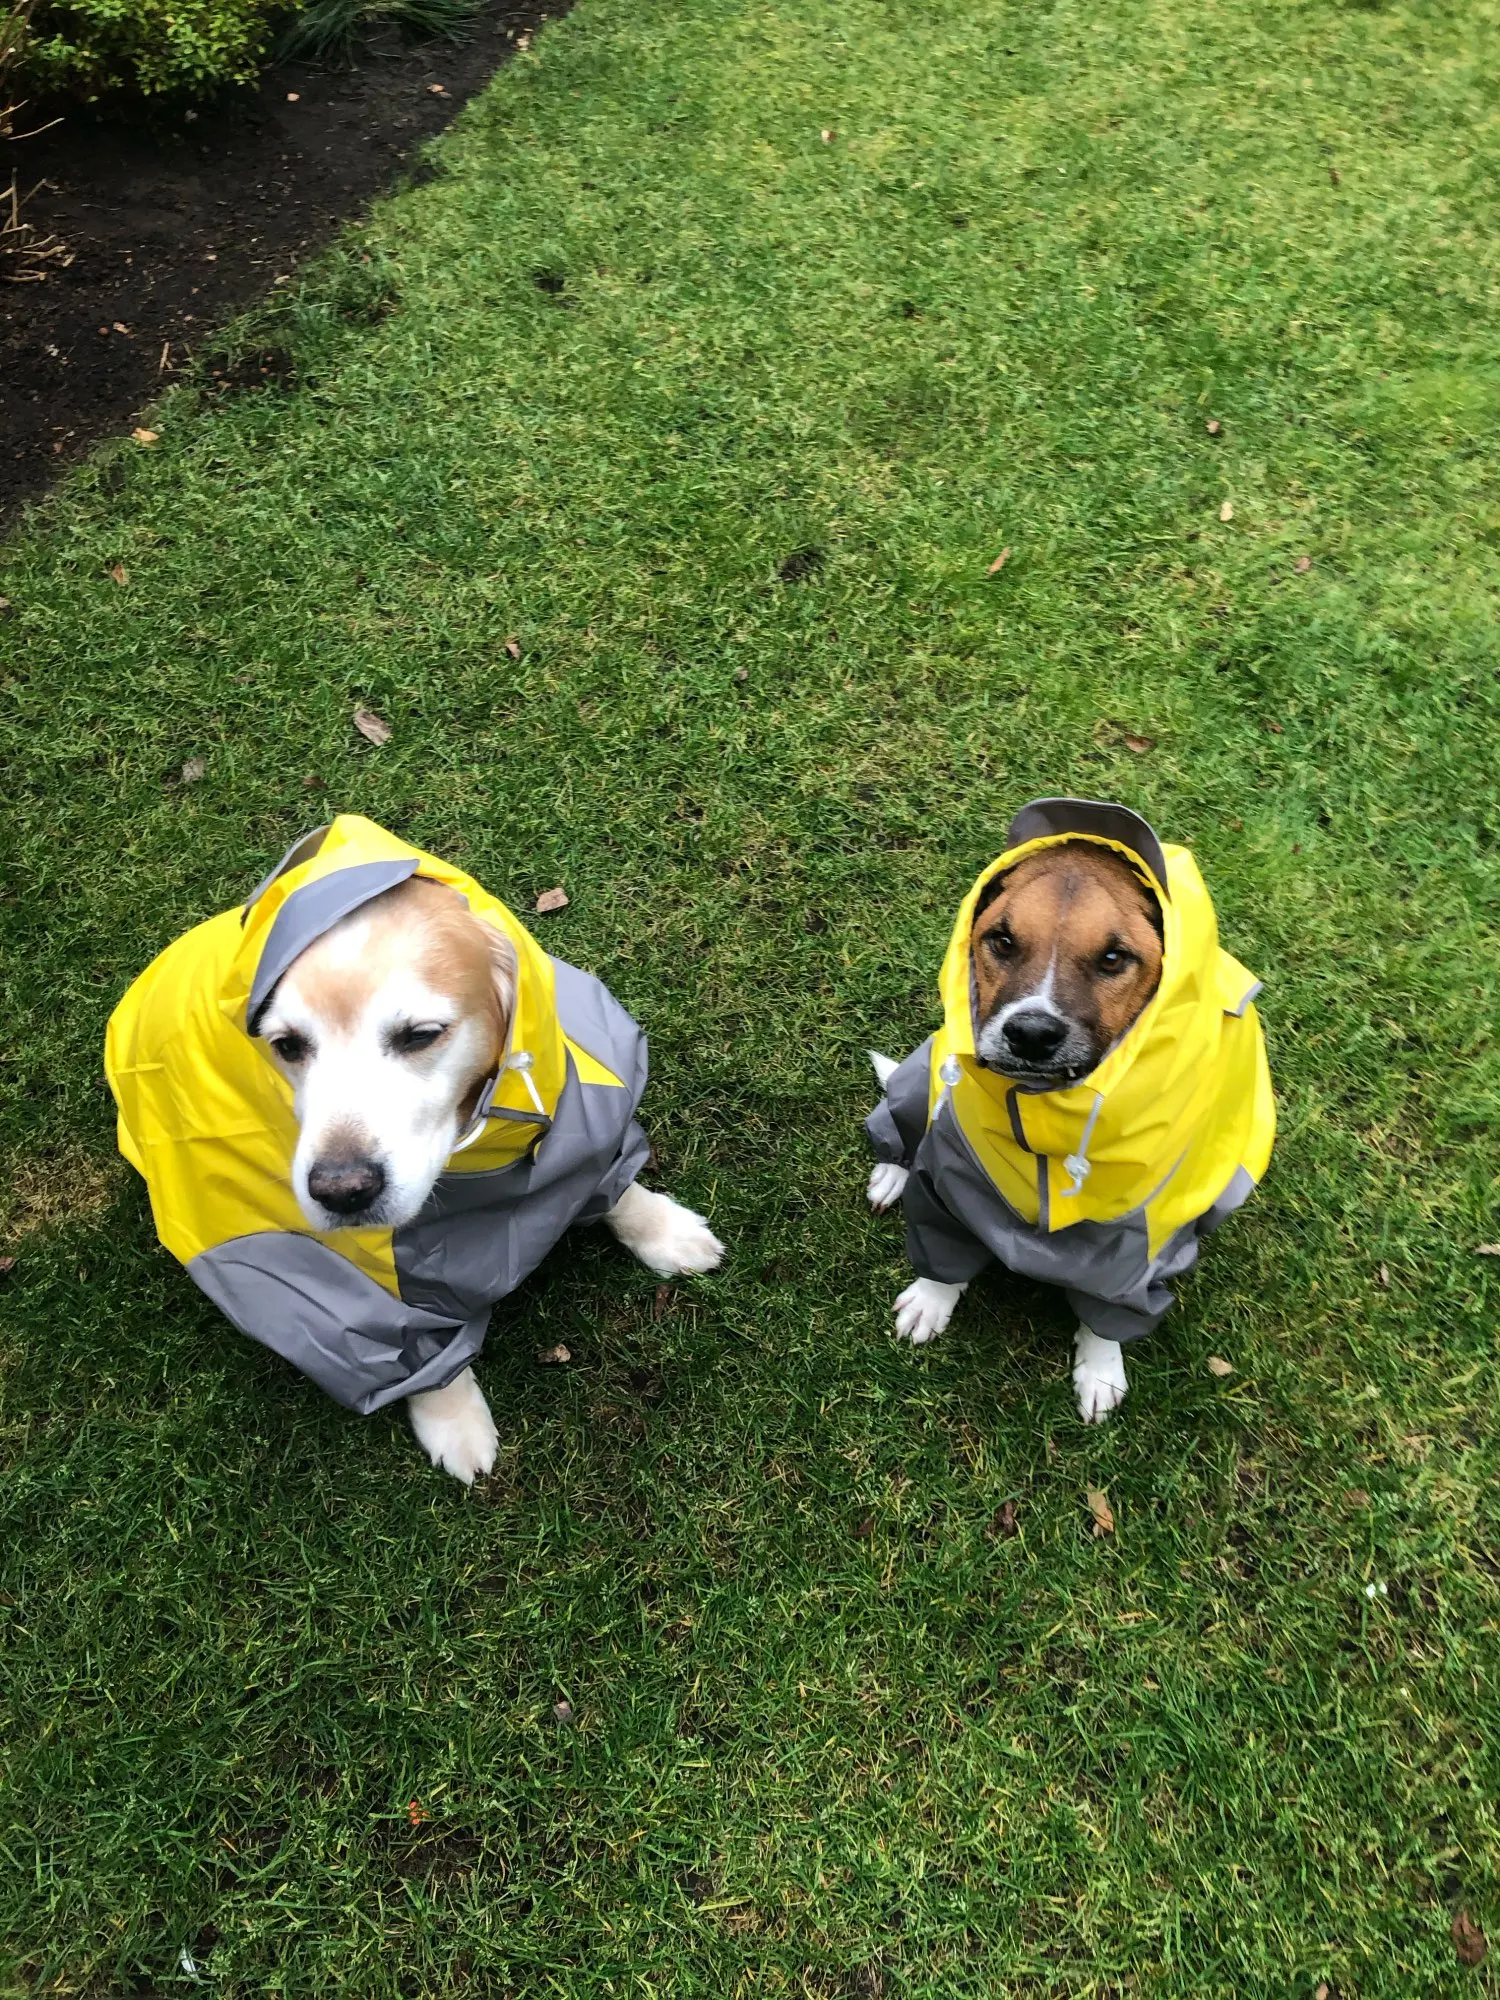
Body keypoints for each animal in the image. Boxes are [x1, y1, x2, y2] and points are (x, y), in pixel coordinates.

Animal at [106, 816, 724, 1482]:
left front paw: (662, 1229)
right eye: (287, 1045)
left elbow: (612, 1184)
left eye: (420, 1035)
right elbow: (412, 1350)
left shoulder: (579, 1107)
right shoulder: (346, 1297)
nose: (342, 1192)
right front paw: (455, 1422)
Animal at [865, 797, 1274, 1421]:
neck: (1041, 1115)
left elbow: (1109, 1309)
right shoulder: (951, 1178)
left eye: (1114, 957)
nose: (1032, 1033)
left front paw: (1100, 1370)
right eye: (1002, 940)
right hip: (920, 1076)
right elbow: (942, 1251)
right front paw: (930, 1302)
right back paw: (890, 1172)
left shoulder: (1140, 1242)